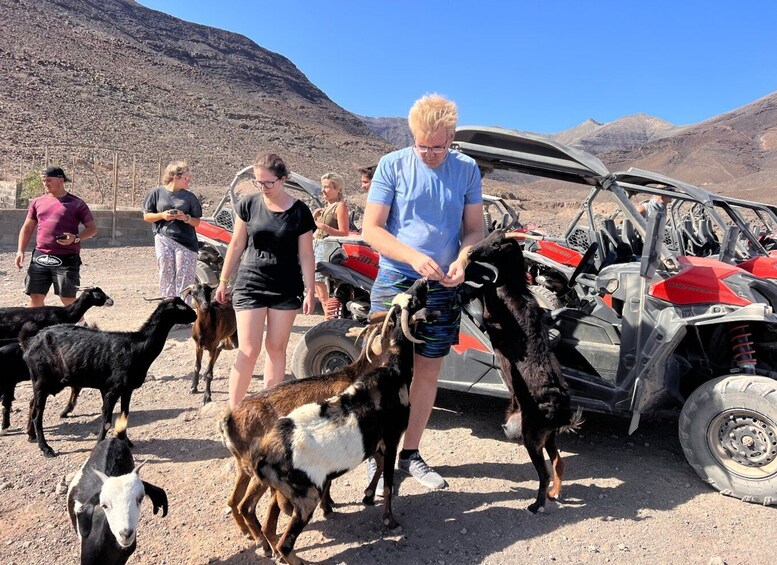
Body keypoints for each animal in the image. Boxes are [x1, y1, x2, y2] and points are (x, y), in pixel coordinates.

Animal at [23, 298, 197, 456]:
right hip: (42, 380)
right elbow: (106, 420)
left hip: (45, 382)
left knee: (32, 404)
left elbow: (124, 416)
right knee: (38, 415)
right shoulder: (112, 390)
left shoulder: (126, 390)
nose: (195, 315)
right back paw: (46, 448)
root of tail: (30, 343)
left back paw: (31, 435)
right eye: (182, 307)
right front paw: (100, 445)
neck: (137, 347)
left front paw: (126, 441)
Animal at [252, 278, 428, 564]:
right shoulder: (392, 437)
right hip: (305, 496)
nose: (423, 280)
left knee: (270, 528)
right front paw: (390, 521)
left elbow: (379, 465)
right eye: (413, 301)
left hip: (280, 493)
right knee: (285, 543)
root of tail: (264, 456)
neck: (395, 373)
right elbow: (389, 481)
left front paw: (368, 495)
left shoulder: (374, 440)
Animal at [464, 230, 580, 516]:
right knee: (558, 462)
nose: (470, 253)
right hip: (546, 437)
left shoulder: (493, 315)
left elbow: (485, 293)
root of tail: (561, 413)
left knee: (545, 472)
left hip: (532, 438)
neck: (514, 289)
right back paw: (554, 494)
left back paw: (536, 504)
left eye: (496, 244)